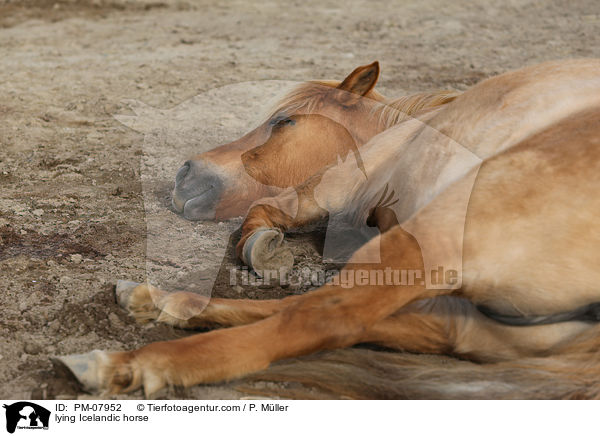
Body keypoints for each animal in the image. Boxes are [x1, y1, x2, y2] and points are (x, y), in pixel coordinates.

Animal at [55, 59, 600, 400]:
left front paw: (262, 248)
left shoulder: (344, 185)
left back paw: (131, 364)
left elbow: (268, 214)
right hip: (489, 326)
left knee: (323, 317)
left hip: (429, 241)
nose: (187, 173)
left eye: (284, 121)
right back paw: (161, 302)